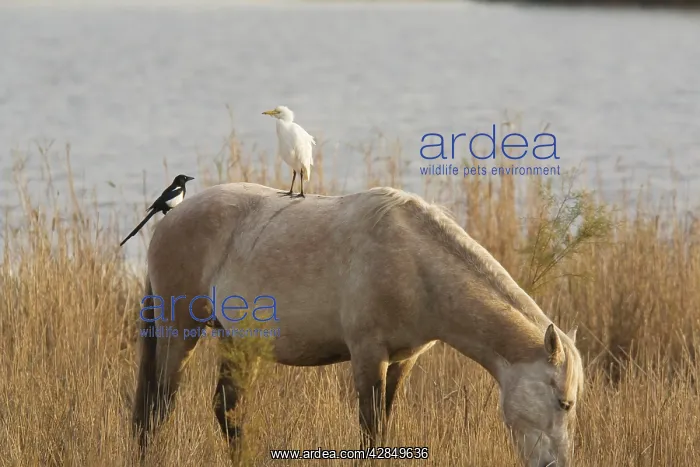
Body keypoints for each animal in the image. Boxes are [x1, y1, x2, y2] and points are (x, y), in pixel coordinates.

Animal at [132, 182, 584, 467]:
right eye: (564, 402)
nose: (555, 465)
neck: (416, 264)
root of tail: (167, 221)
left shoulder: (402, 362)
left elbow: (384, 429)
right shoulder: (368, 357)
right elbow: (371, 433)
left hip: (238, 344)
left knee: (223, 410)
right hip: (179, 332)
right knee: (157, 408)